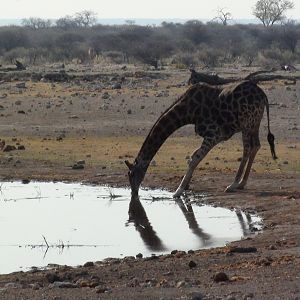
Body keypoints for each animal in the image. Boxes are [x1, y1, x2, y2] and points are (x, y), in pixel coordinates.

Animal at [125, 80, 276, 197]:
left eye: (131, 174)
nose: (134, 193)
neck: (187, 112)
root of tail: (263, 95)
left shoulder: (214, 134)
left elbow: (195, 159)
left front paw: (178, 191)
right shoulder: (214, 136)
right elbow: (192, 156)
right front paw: (186, 185)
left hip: (246, 123)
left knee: (247, 149)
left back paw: (233, 184)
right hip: (254, 123)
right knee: (256, 145)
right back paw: (242, 183)